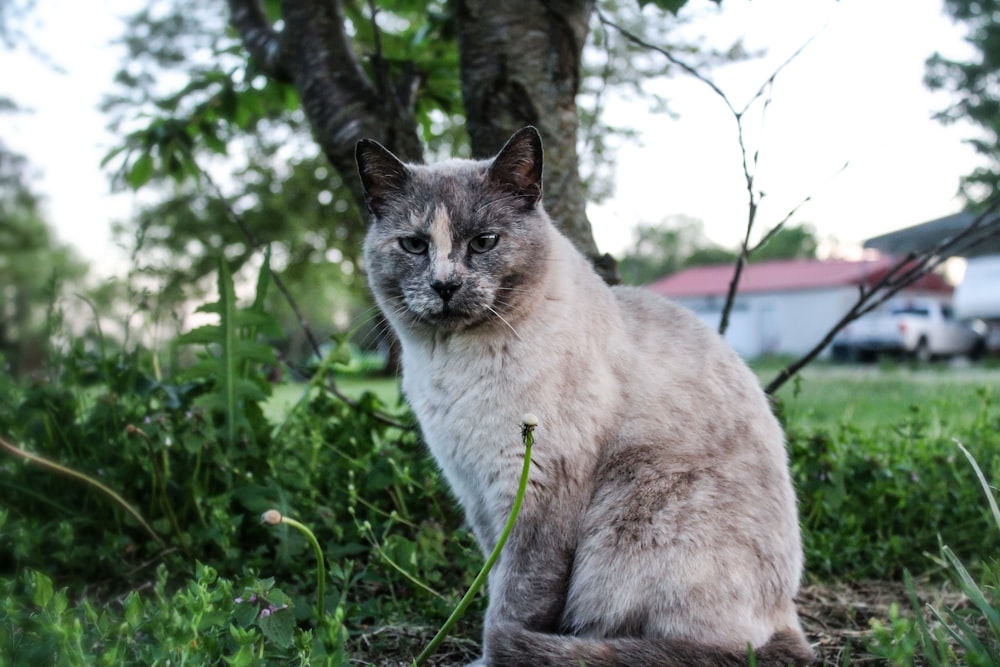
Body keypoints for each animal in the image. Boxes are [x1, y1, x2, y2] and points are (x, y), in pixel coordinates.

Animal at [356, 126, 816, 667]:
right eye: (413, 245)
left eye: (484, 242)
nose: (444, 284)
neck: (452, 364)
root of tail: (788, 617)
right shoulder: (476, 492)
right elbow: (494, 576)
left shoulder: (536, 489)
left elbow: (513, 601)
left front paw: (490, 656)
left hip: (634, 513)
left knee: (695, 646)